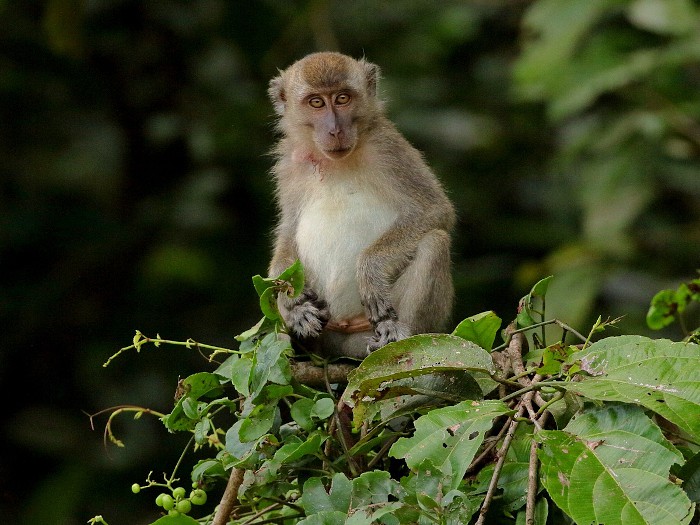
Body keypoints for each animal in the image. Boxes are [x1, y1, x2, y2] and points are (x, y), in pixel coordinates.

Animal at [266, 51, 454, 358]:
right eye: (316, 102)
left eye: (343, 98)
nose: (335, 130)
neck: (335, 161)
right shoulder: (289, 164)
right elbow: (289, 229)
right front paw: (289, 295)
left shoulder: (388, 148)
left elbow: (434, 210)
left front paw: (370, 272)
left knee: (434, 243)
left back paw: (397, 334)